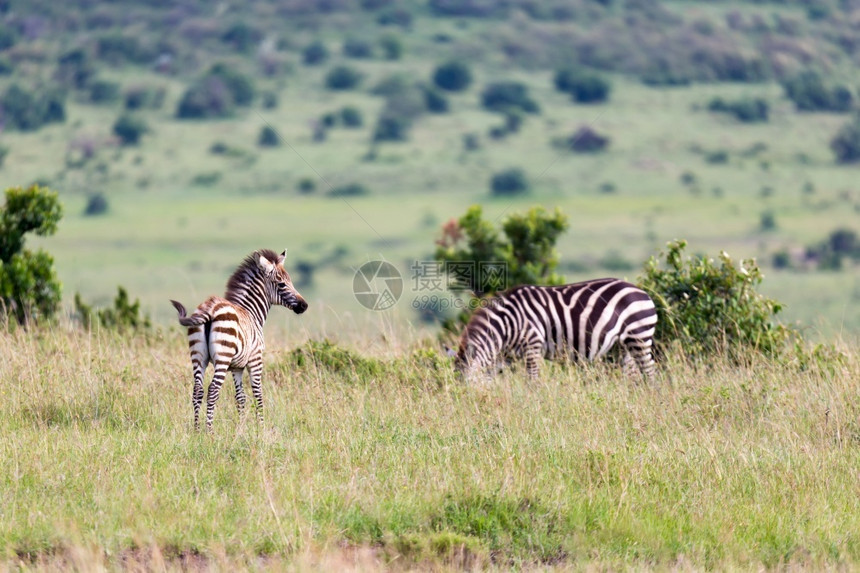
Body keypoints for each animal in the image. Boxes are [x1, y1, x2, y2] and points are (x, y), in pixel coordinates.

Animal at [170, 248, 308, 432]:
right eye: (282, 285)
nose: (304, 305)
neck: (251, 312)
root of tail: (210, 308)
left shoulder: (237, 367)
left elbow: (240, 397)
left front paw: (241, 428)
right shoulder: (256, 359)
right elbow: (258, 394)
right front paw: (261, 428)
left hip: (198, 356)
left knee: (197, 390)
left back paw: (197, 430)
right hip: (222, 357)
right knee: (212, 390)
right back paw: (209, 432)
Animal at [456, 278, 660, 382]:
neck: (508, 324)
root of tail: (642, 292)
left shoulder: (532, 344)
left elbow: (532, 380)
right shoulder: (505, 356)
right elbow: (492, 377)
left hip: (639, 335)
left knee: (649, 370)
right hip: (626, 345)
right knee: (632, 372)